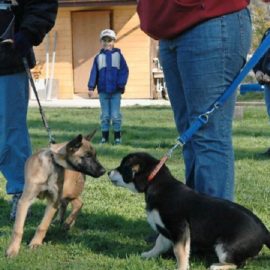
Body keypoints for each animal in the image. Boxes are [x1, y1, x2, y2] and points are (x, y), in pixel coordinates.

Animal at [108, 152, 270, 270]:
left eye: (123, 167)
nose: (108, 172)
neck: (158, 186)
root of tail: (264, 232)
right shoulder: (166, 229)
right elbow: (159, 243)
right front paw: (149, 255)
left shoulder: (179, 228)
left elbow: (180, 251)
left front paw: (181, 267)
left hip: (225, 247)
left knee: (238, 264)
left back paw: (217, 266)